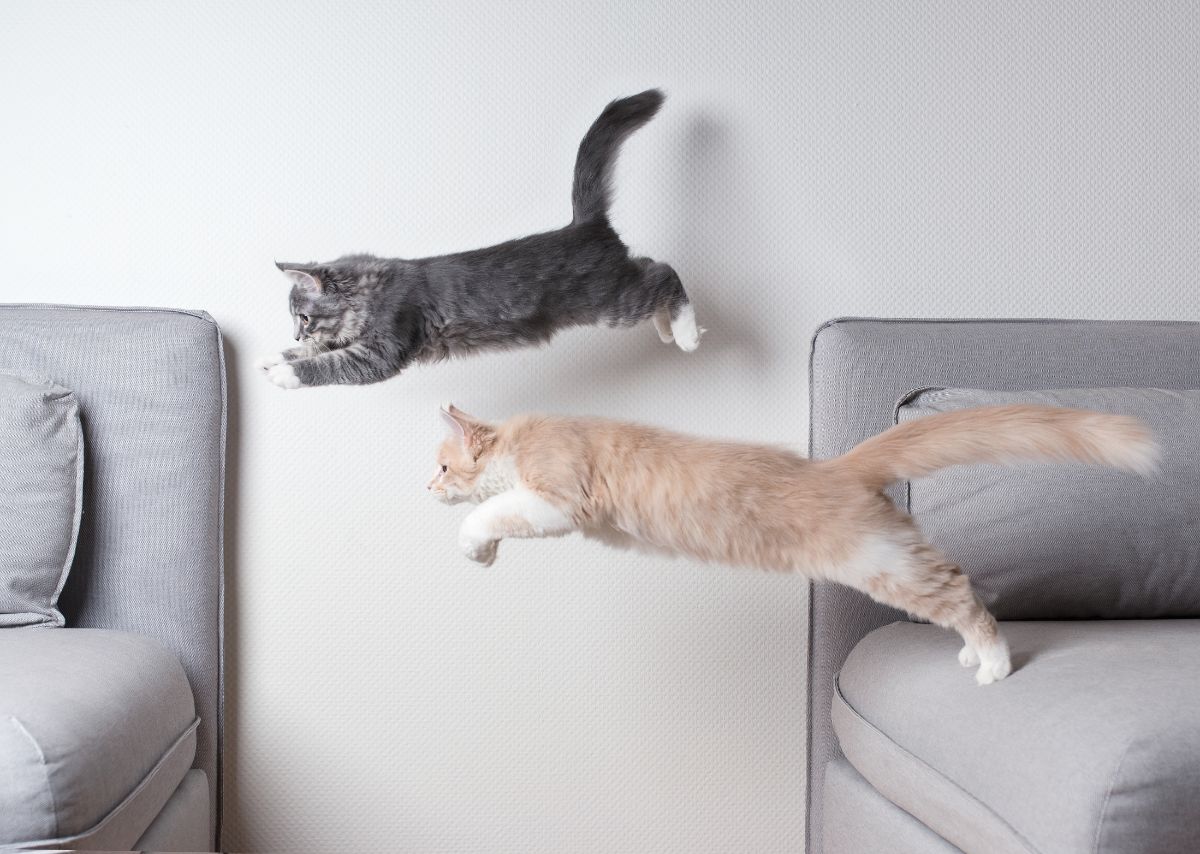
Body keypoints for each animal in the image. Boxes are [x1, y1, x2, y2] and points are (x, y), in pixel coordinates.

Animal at [258, 89, 700, 391]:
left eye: (303, 317)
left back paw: (686, 334)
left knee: (664, 273)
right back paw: (666, 329)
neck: (372, 294)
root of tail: (584, 224)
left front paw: (287, 371)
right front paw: (274, 355)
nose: (295, 334)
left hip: (612, 300)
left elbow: (328, 363)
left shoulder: (383, 349)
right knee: (651, 270)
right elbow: (322, 350)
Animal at [427, 403, 1156, 686]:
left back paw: (994, 663)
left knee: (960, 589)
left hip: (880, 563)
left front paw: (474, 546)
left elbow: (491, 512)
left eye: (439, 465)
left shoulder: (556, 496)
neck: (525, 435)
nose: (424, 486)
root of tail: (838, 468)